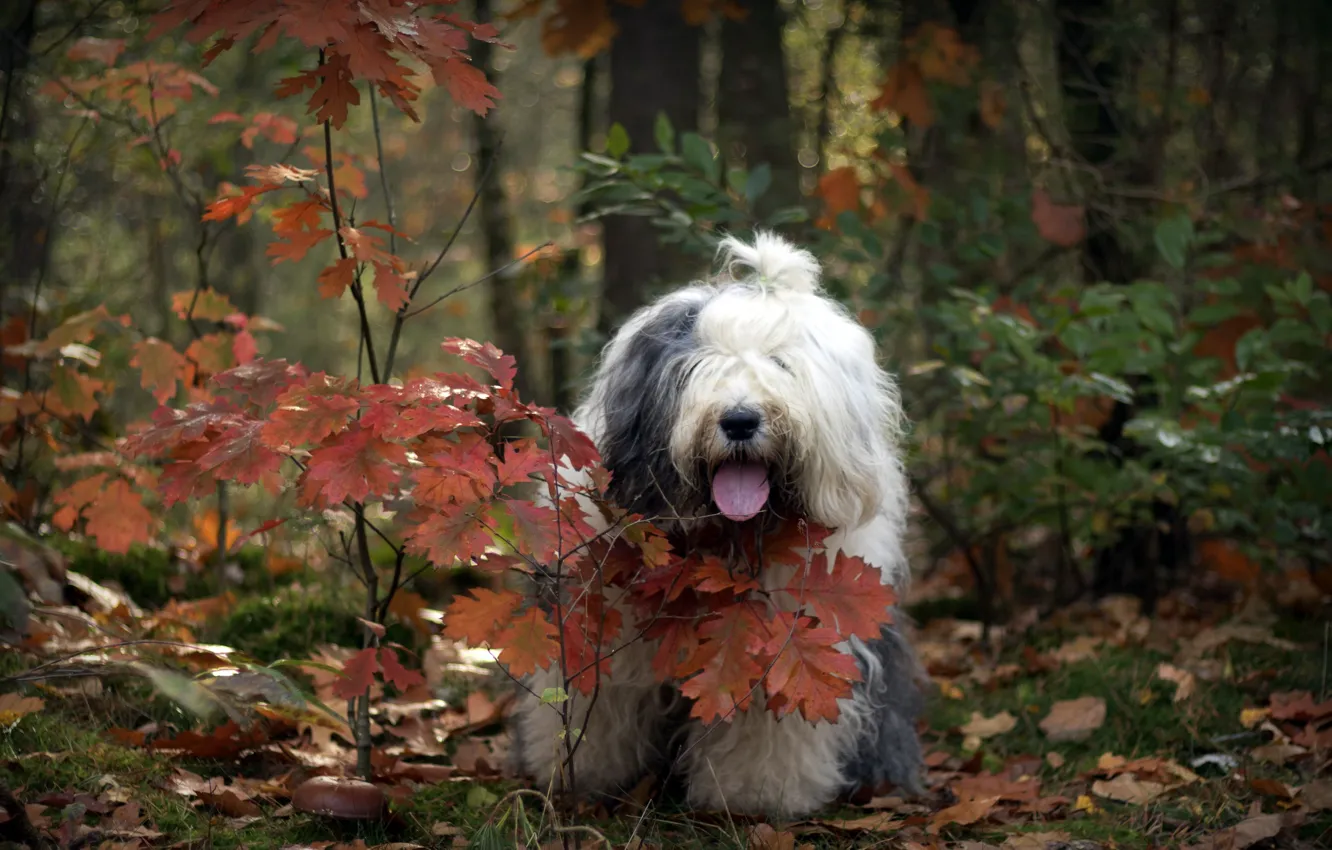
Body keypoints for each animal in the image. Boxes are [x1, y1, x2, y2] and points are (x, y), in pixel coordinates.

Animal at [514, 231, 921, 820]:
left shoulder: (784, 640)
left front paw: (758, 796)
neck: (722, 537)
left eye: (780, 365)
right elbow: (599, 703)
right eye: (698, 368)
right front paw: (584, 777)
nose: (740, 420)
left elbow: (767, 723)